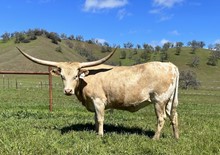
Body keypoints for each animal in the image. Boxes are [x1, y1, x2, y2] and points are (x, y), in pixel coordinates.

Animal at [16, 47, 179, 139]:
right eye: (62, 76)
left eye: (76, 76)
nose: (68, 90)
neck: (86, 80)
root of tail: (170, 65)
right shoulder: (93, 103)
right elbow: (95, 118)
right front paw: (95, 132)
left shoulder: (99, 101)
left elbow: (100, 119)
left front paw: (100, 135)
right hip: (170, 101)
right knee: (174, 116)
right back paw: (176, 137)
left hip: (159, 100)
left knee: (161, 118)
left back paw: (155, 138)